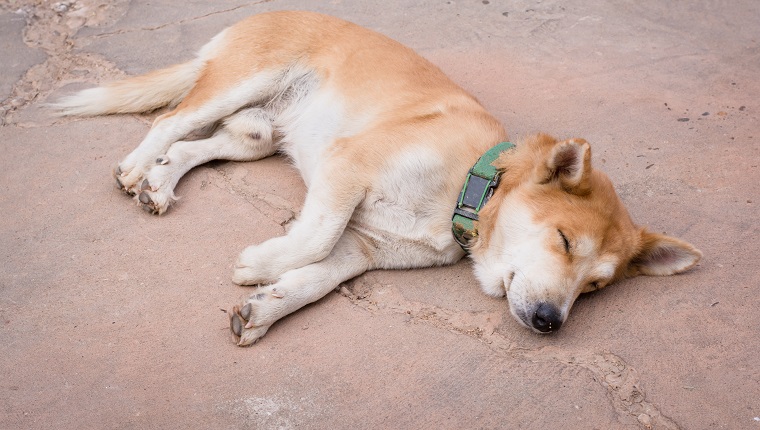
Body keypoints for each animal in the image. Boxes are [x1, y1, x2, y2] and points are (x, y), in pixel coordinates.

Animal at [55, 10, 700, 346]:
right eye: (565, 242)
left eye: (595, 287)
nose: (550, 323)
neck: (468, 191)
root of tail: (270, 9)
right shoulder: (348, 167)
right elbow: (313, 239)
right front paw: (263, 262)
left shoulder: (364, 248)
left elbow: (319, 275)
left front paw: (268, 305)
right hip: (241, 82)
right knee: (170, 121)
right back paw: (138, 166)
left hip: (256, 134)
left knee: (196, 145)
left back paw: (161, 181)